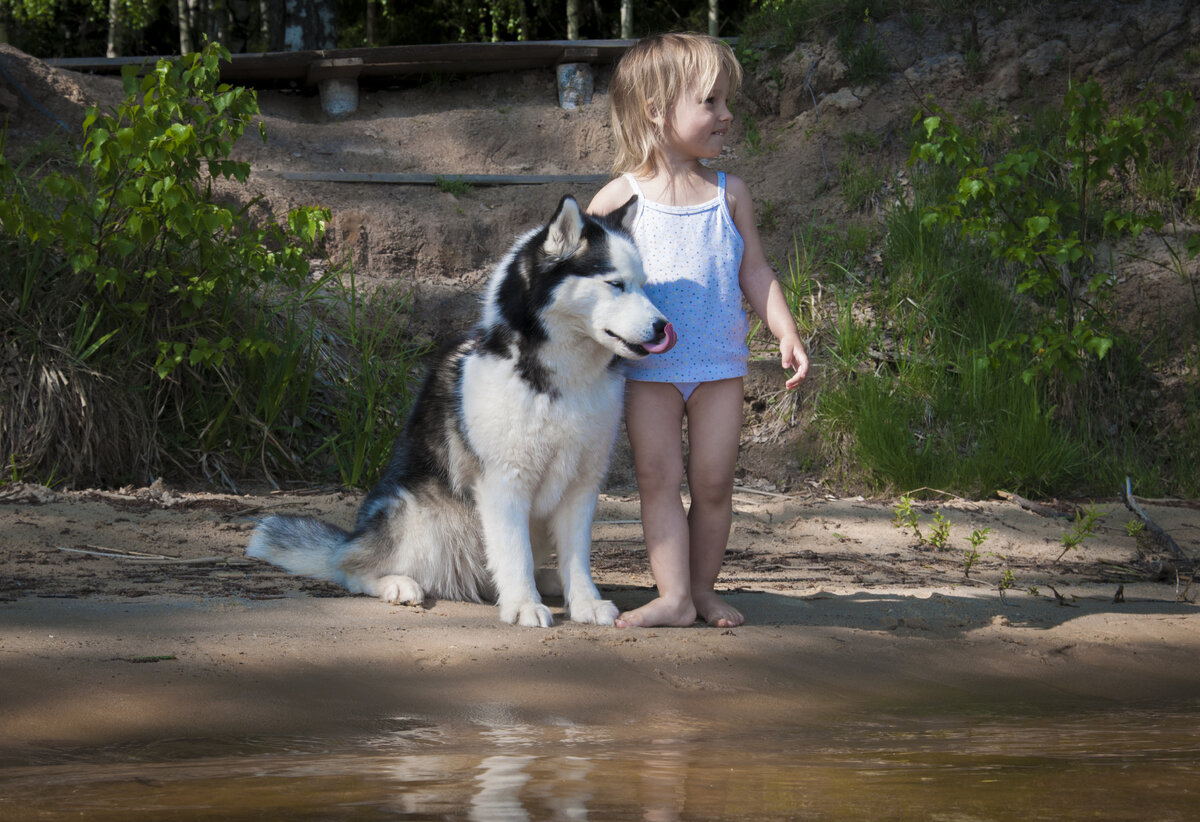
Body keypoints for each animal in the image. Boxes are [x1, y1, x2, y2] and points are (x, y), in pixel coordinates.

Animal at [248, 195, 676, 624]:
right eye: (615, 284)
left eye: (643, 285)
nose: (663, 326)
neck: (559, 382)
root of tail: (353, 537)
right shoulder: (504, 483)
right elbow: (514, 554)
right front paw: (524, 605)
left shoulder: (581, 485)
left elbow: (577, 558)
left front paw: (585, 602)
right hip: (416, 513)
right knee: (352, 568)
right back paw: (397, 583)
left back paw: (547, 582)